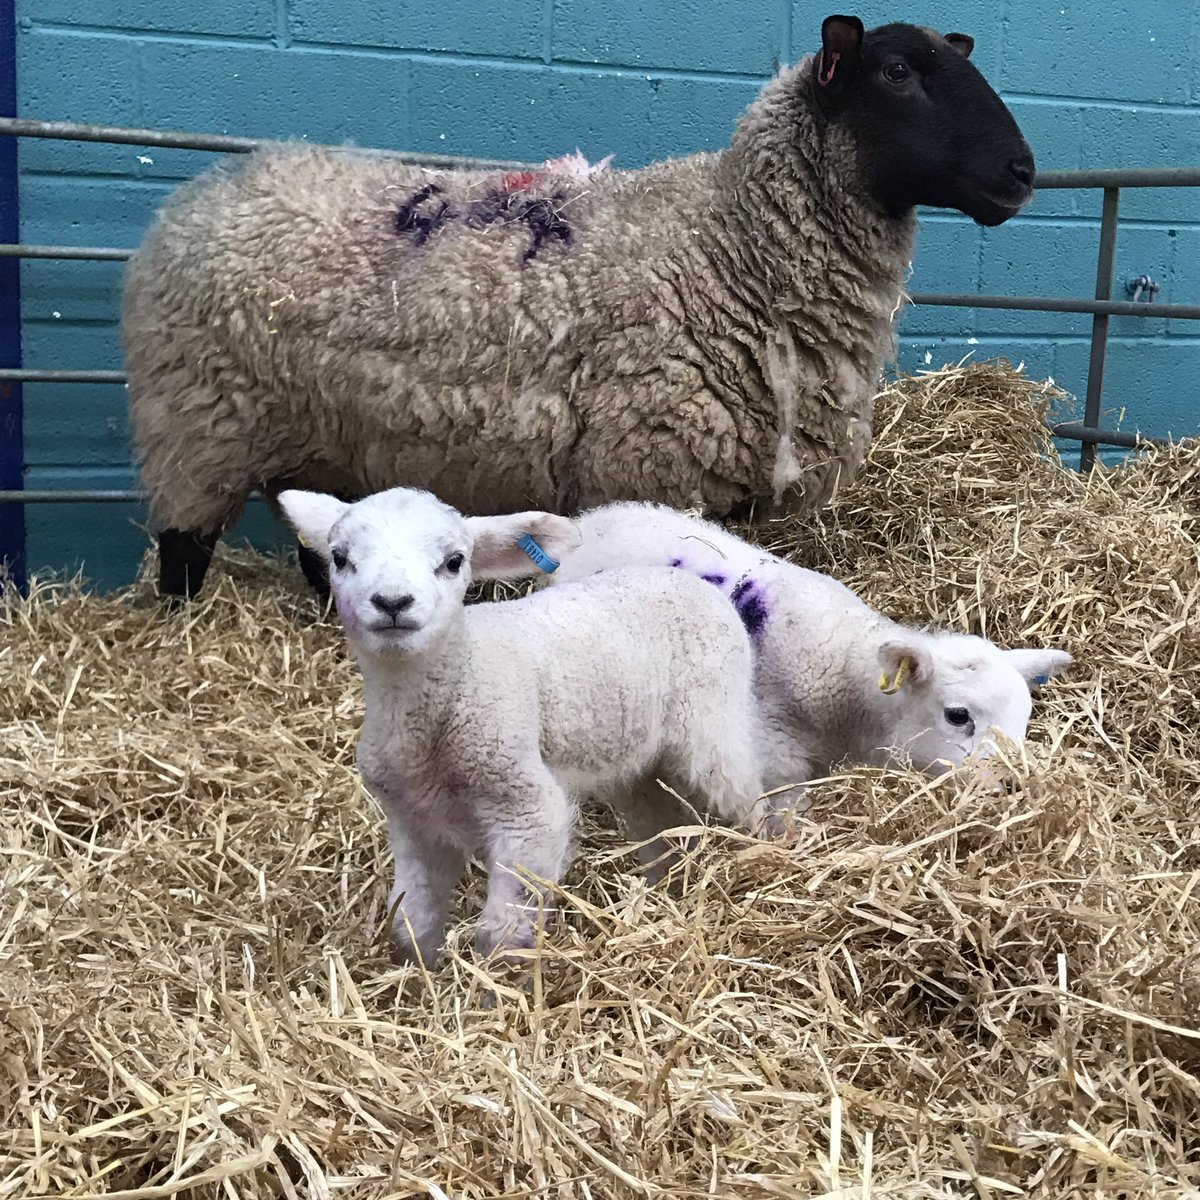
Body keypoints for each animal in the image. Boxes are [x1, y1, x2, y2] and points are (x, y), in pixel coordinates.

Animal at [121, 13, 1036, 604]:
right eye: (898, 73)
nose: (1022, 172)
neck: (731, 245)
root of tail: (209, 192)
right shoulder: (653, 465)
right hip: (201, 422)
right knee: (184, 548)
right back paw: (183, 630)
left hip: (313, 435)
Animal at [275, 485, 766, 962]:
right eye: (340, 557)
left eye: (454, 561)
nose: (393, 602)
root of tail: (689, 581)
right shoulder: (413, 819)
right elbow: (411, 920)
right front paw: (419, 972)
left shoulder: (526, 808)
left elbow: (502, 934)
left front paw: (493, 982)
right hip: (637, 759)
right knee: (661, 818)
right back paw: (663, 882)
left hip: (712, 724)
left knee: (747, 796)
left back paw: (765, 850)